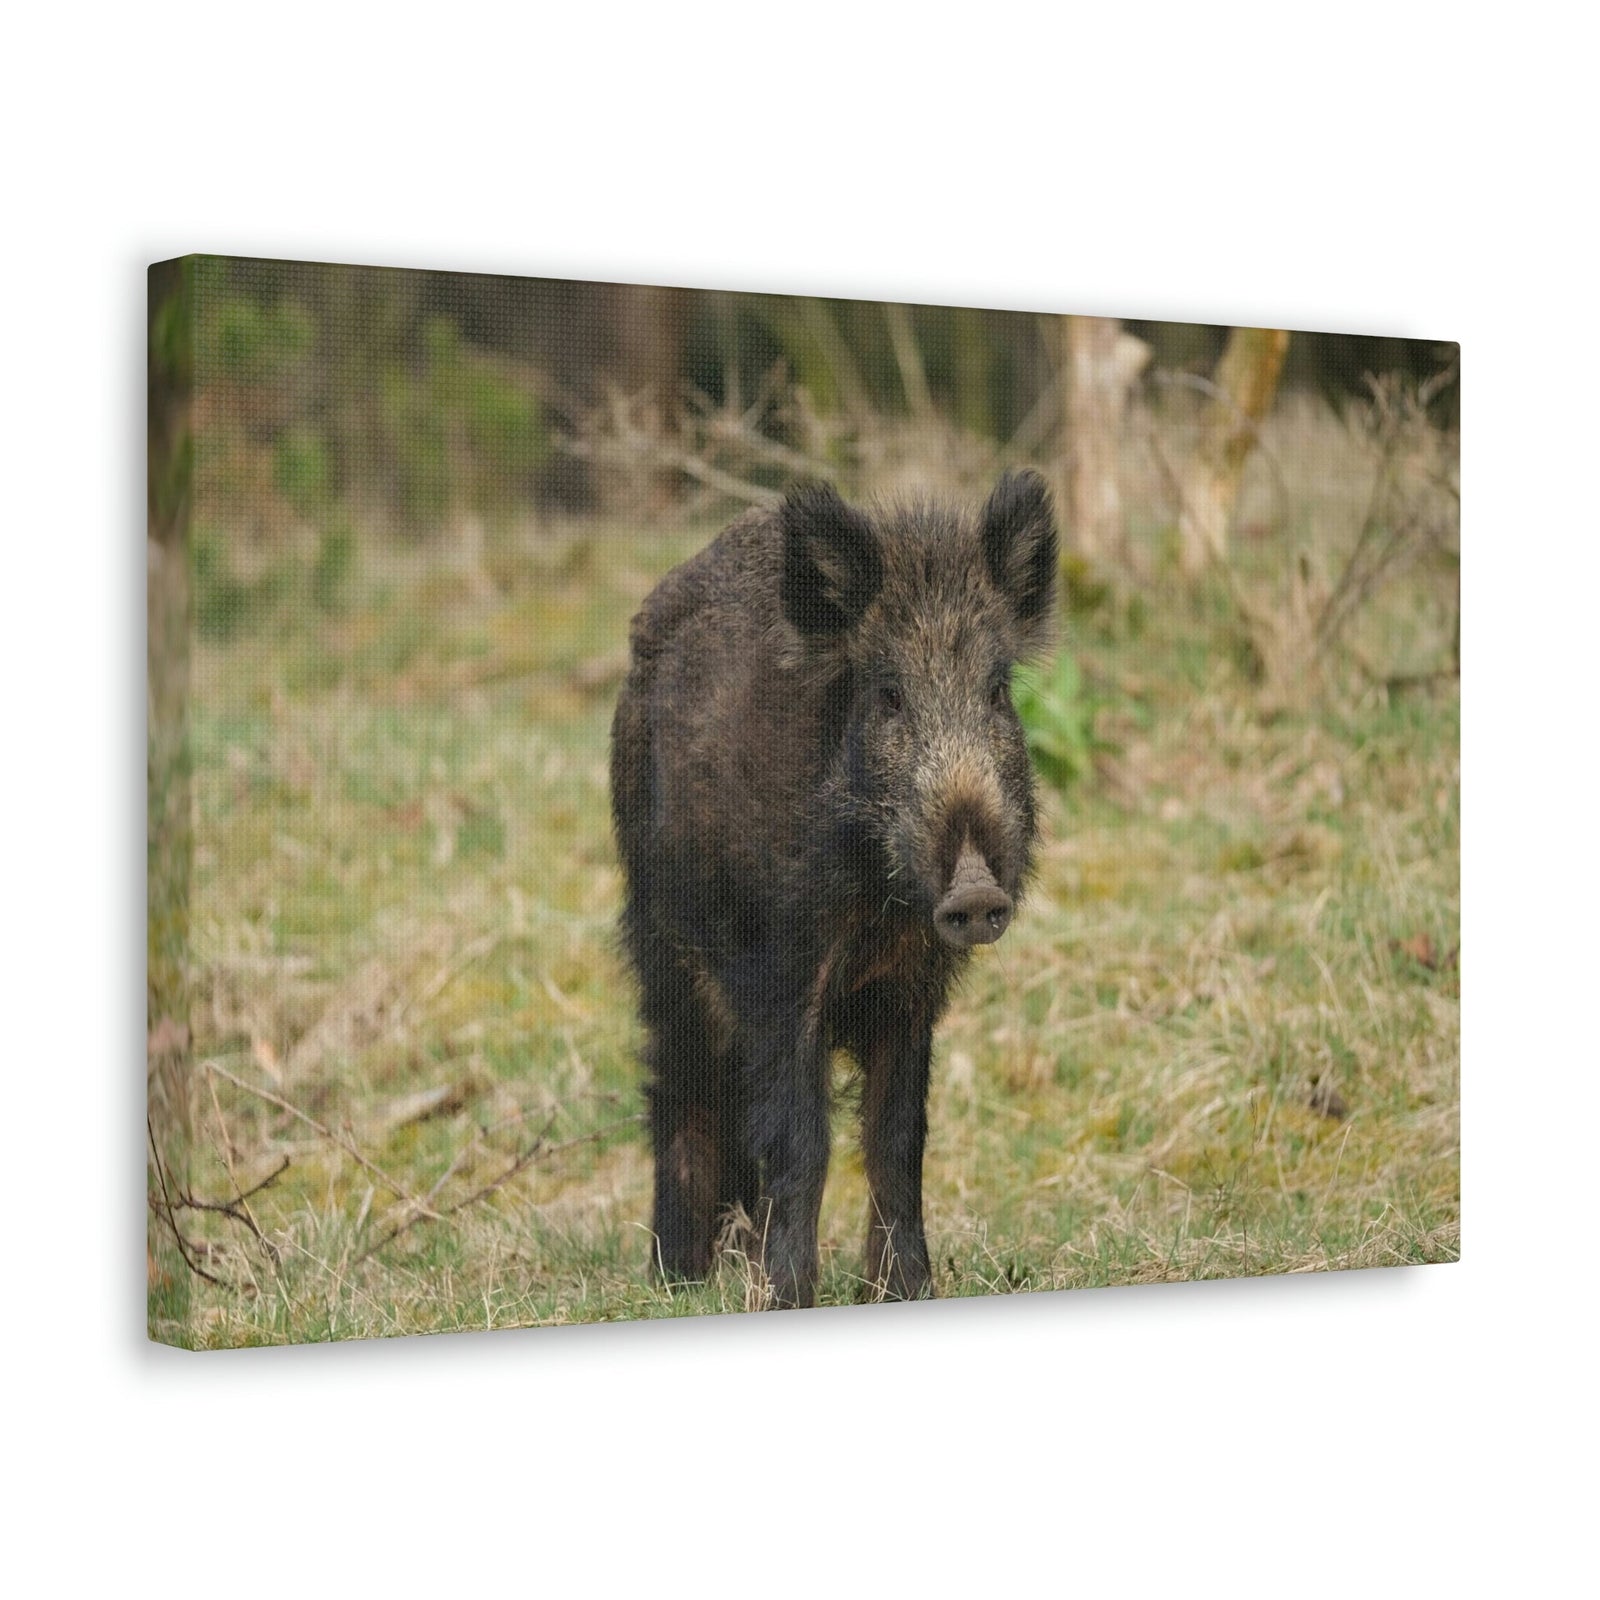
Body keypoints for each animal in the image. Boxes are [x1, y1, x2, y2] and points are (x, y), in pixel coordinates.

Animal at [610, 470, 1057, 1308]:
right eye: (888, 694)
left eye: (996, 691)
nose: (975, 891)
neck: (876, 905)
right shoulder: (778, 972)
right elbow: (801, 1138)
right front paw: (787, 1297)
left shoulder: (915, 986)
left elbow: (898, 1137)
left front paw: (908, 1291)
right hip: (660, 936)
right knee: (680, 1082)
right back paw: (678, 1277)